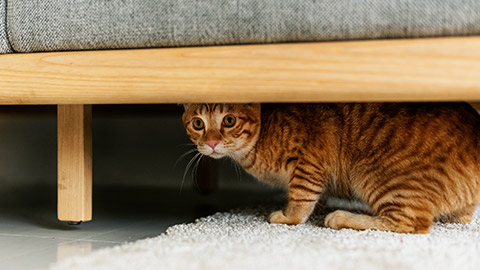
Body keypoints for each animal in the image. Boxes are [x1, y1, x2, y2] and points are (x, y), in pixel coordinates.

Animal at [181, 102, 480, 233]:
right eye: (198, 124)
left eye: (229, 120)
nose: (212, 143)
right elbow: (316, 197)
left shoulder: (308, 162)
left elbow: (300, 199)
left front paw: (288, 217)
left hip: (374, 175)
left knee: (409, 223)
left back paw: (343, 218)